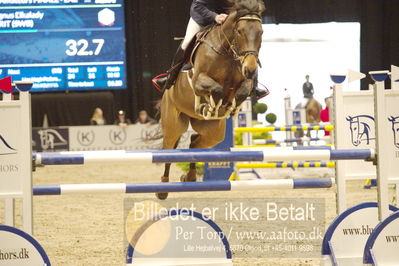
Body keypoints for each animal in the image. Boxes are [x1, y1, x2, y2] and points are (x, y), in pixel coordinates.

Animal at [158, 0, 268, 200]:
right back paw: (162, 189)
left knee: (194, 143)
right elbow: (216, 88)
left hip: (212, 133)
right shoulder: (198, 80)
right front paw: (210, 106)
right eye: (239, 31)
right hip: (173, 123)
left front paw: (227, 107)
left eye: (260, 32)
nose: (249, 69)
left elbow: (241, 92)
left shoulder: (245, 83)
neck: (228, 53)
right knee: (169, 149)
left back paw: (190, 176)